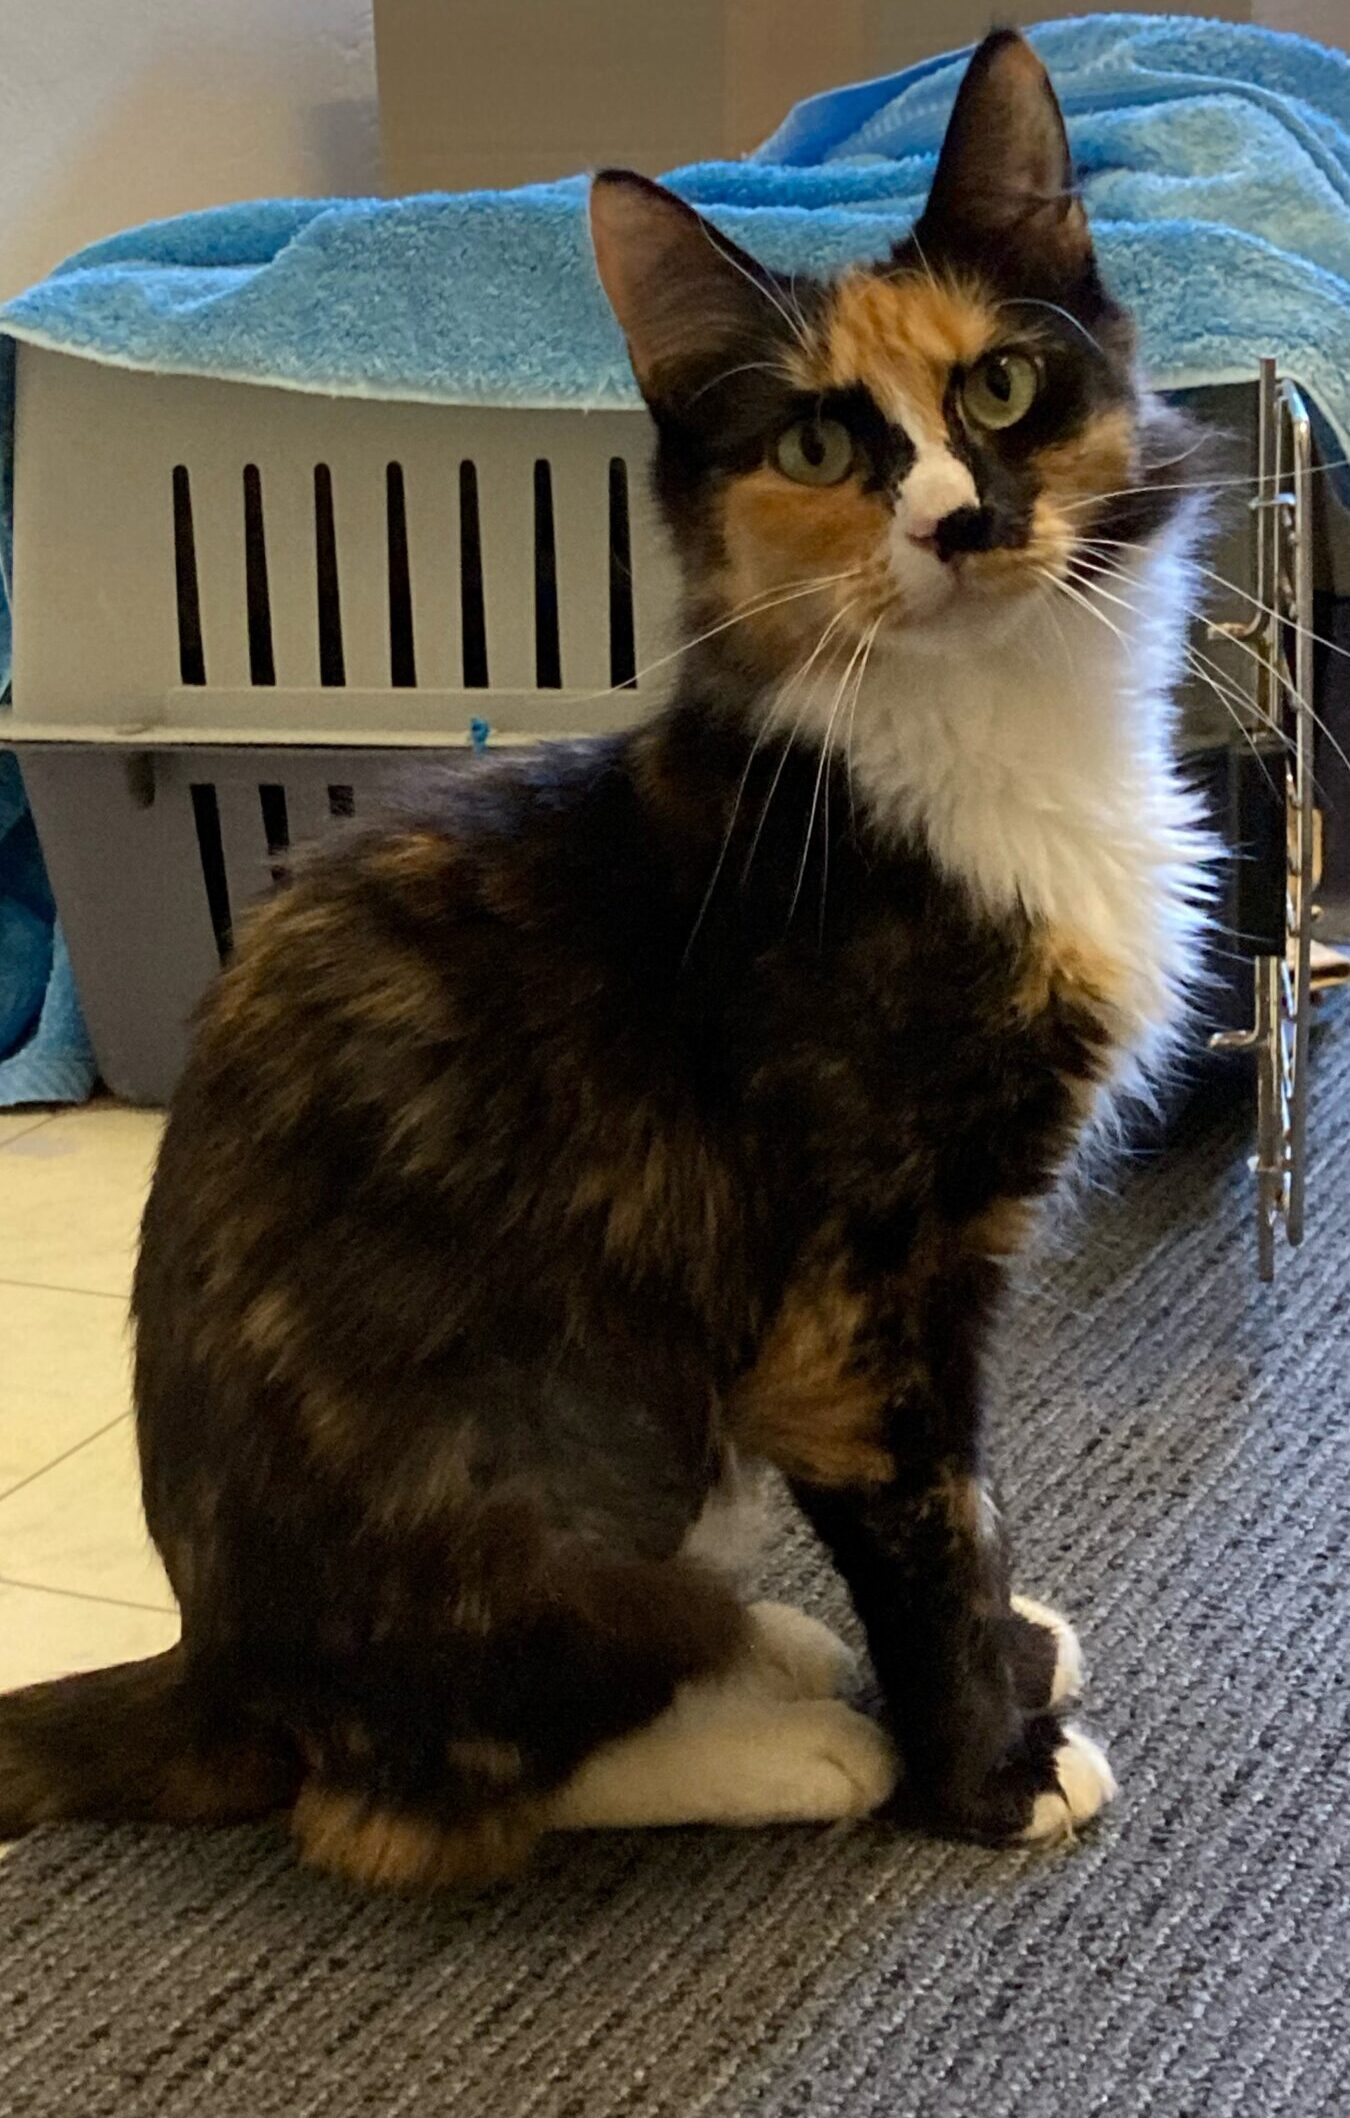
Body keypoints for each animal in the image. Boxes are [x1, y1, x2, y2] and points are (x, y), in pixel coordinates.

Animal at [0, 31, 1210, 1887]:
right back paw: (794, 1732)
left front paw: (1009, 1666)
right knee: (402, 1799)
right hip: (538, 1489)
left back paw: (767, 1649)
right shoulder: (854, 1306)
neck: (985, 738)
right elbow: (935, 1529)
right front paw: (988, 1769)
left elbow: (980, 1516)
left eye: (1002, 389)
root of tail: (218, 1662)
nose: (960, 521)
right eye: (819, 439)